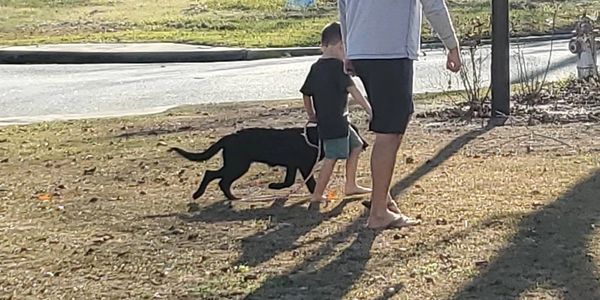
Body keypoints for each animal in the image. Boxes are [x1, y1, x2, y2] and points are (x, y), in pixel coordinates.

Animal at [166, 124, 368, 199]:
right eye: (357, 133)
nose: (366, 144)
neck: (315, 137)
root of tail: (229, 137)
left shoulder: (292, 166)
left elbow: (288, 181)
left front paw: (274, 186)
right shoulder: (304, 167)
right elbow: (311, 183)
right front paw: (318, 195)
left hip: (236, 165)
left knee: (220, 180)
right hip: (238, 165)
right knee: (215, 176)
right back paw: (201, 194)